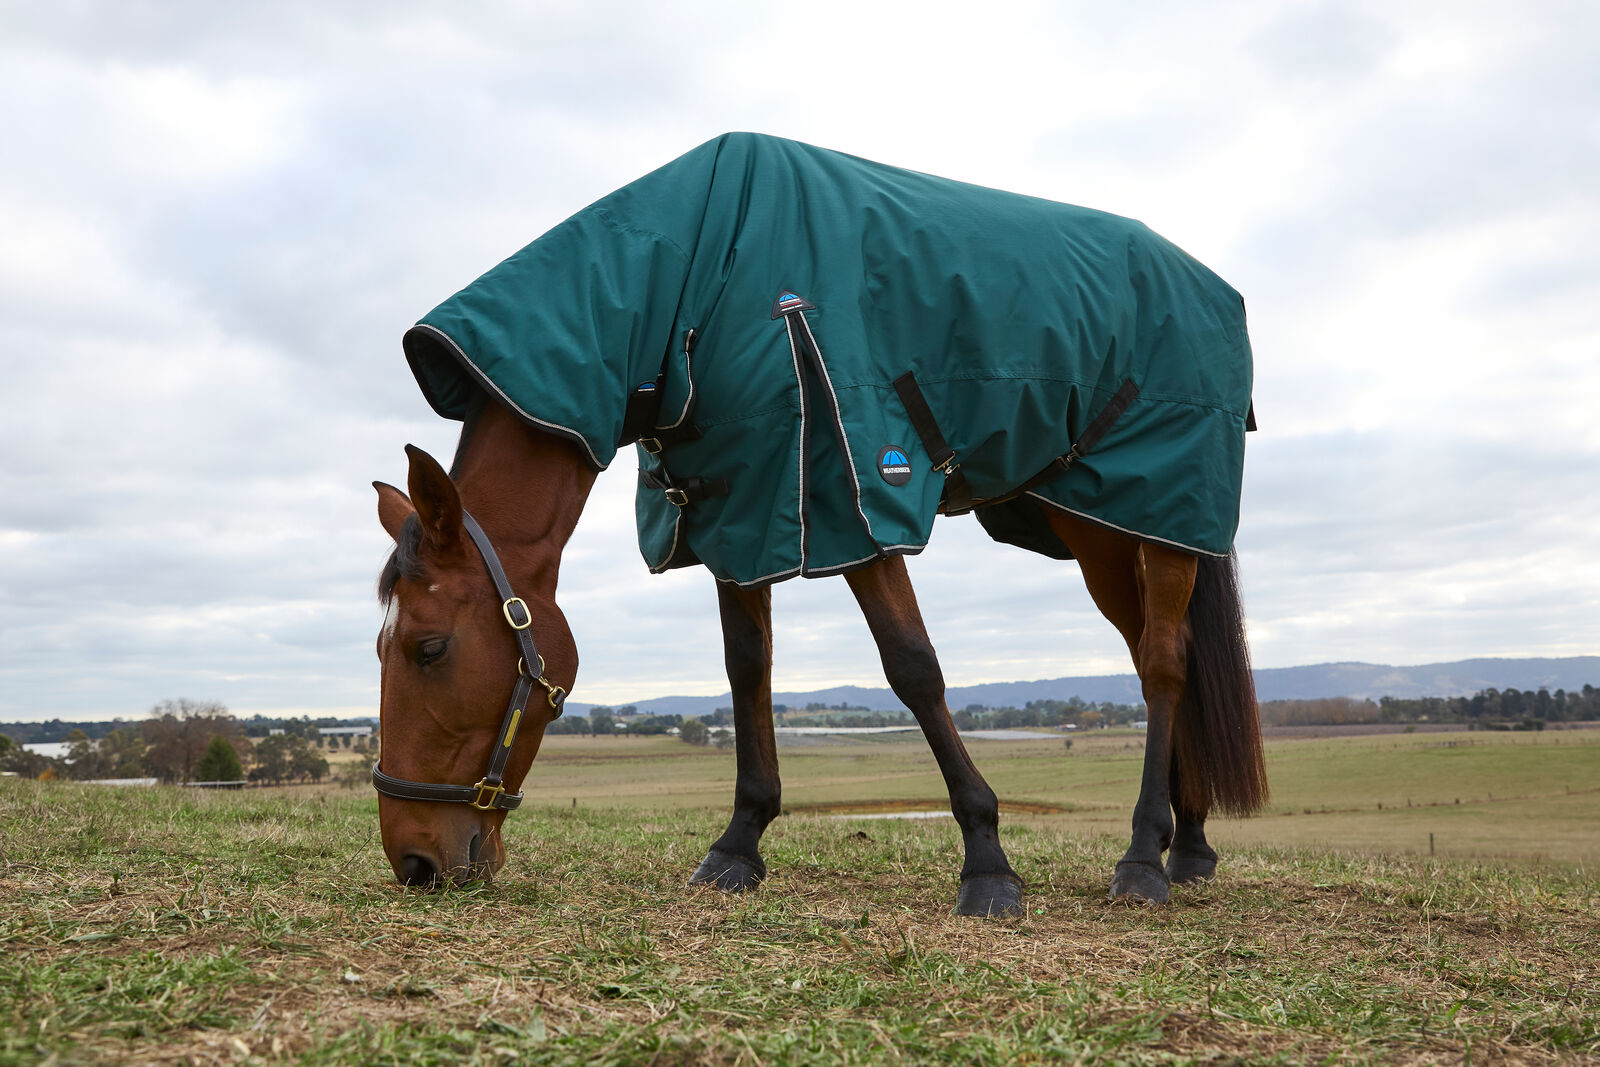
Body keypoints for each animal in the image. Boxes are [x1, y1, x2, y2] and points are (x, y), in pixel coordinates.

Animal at [370, 133, 1267, 914]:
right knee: (1160, 653)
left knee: (1163, 665)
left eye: (429, 648)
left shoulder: (853, 499)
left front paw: (987, 860)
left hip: (1159, 515)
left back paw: (1143, 857)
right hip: (1101, 524)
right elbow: (748, 670)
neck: (691, 279)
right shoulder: (740, 512)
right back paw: (1187, 845)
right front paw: (738, 843)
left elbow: (912, 667)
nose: (412, 860)